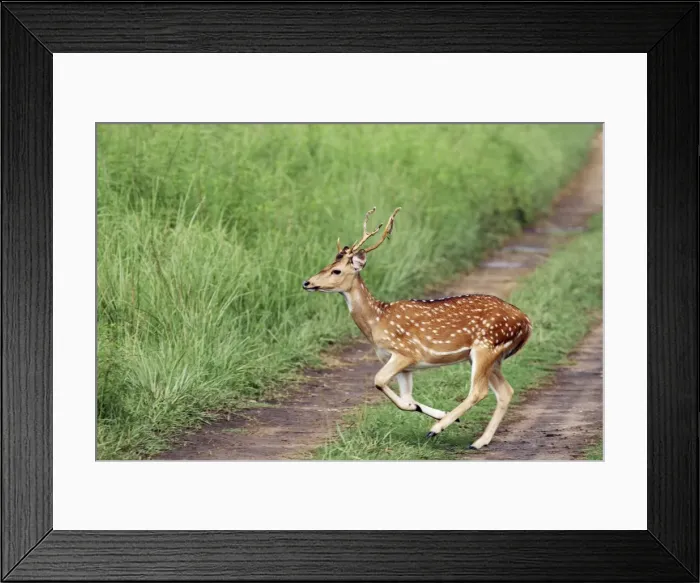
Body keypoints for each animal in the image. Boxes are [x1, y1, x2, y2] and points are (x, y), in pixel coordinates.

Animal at [302, 207, 532, 449]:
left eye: (336, 271)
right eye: (326, 266)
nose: (307, 283)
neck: (377, 321)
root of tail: (526, 321)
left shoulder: (406, 353)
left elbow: (379, 381)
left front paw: (440, 418)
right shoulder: (405, 366)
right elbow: (406, 399)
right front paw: (435, 411)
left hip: (486, 346)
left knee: (479, 391)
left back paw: (436, 430)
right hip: (493, 356)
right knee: (506, 391)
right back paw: (478, 441)